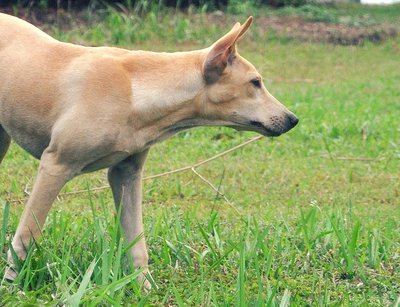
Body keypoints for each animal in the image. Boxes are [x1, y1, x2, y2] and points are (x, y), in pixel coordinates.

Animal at [0, 12, 296, 292]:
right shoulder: (55, 165)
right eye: (255, 82)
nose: (293, 119)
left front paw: (145, 288)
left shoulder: (125, 175)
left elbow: (137, 243)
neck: (137, 90)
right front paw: (12, 284)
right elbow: (26, 235)